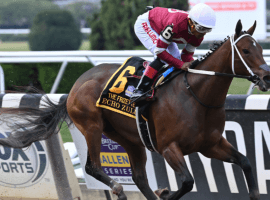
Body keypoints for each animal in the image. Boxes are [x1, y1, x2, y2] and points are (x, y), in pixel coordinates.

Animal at [0, 20, 270, 200]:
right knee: (92, 167)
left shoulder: (210, 144)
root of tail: (75, 86)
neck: (196, 95)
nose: (266, 76)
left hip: (129, 138)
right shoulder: (168, 147)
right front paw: (165, 193)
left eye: (259, 49)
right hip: (92, 126)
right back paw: (119, 189)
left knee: (139, 177)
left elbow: (246, 163)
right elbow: (187, 182)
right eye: (246, 50)